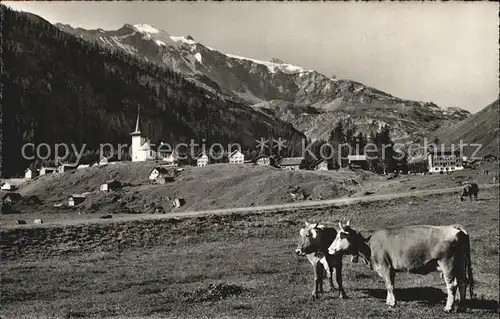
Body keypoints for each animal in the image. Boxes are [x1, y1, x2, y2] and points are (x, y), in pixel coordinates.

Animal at [328, 221, 472, 314]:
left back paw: (448, 308)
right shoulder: (390, 269)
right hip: (459, 264)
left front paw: (392, 303)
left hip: (447, 264)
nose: (329, 249)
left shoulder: (385, 266)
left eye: (339, 236)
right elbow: (389, 285)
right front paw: (389, 301)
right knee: (463, 282)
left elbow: (389, 285)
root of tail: (456, 228)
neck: (368, 246)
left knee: (452, 285)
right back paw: (461, 305)